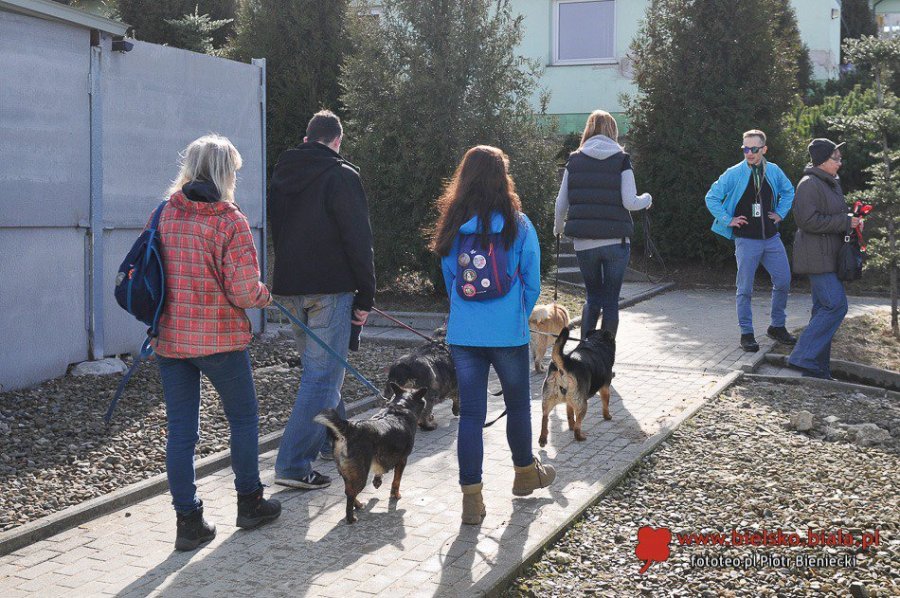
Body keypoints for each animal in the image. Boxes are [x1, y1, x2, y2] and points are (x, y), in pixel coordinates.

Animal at [316, 384, 428, 524]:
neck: (401, 406)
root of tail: (350, 428)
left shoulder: (380, 458)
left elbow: (379, 469)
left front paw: (377, 480)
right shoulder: (402, 460)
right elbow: (396, 481)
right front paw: (395, 495)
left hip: (347, 473)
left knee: (348, 490)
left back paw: (358, 505)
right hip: (360, 475)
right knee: (350, 493)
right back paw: (350, 517)